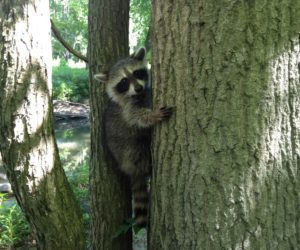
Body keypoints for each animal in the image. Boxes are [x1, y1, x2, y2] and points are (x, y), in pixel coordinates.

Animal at [94, 46, 173, 227]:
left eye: (137, 73)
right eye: (124, 82)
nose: (138, 88)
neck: (138, 95)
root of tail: (130, 170)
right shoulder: (127, 108)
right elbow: (137, 117)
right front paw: (152, 116)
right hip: (131, 151)